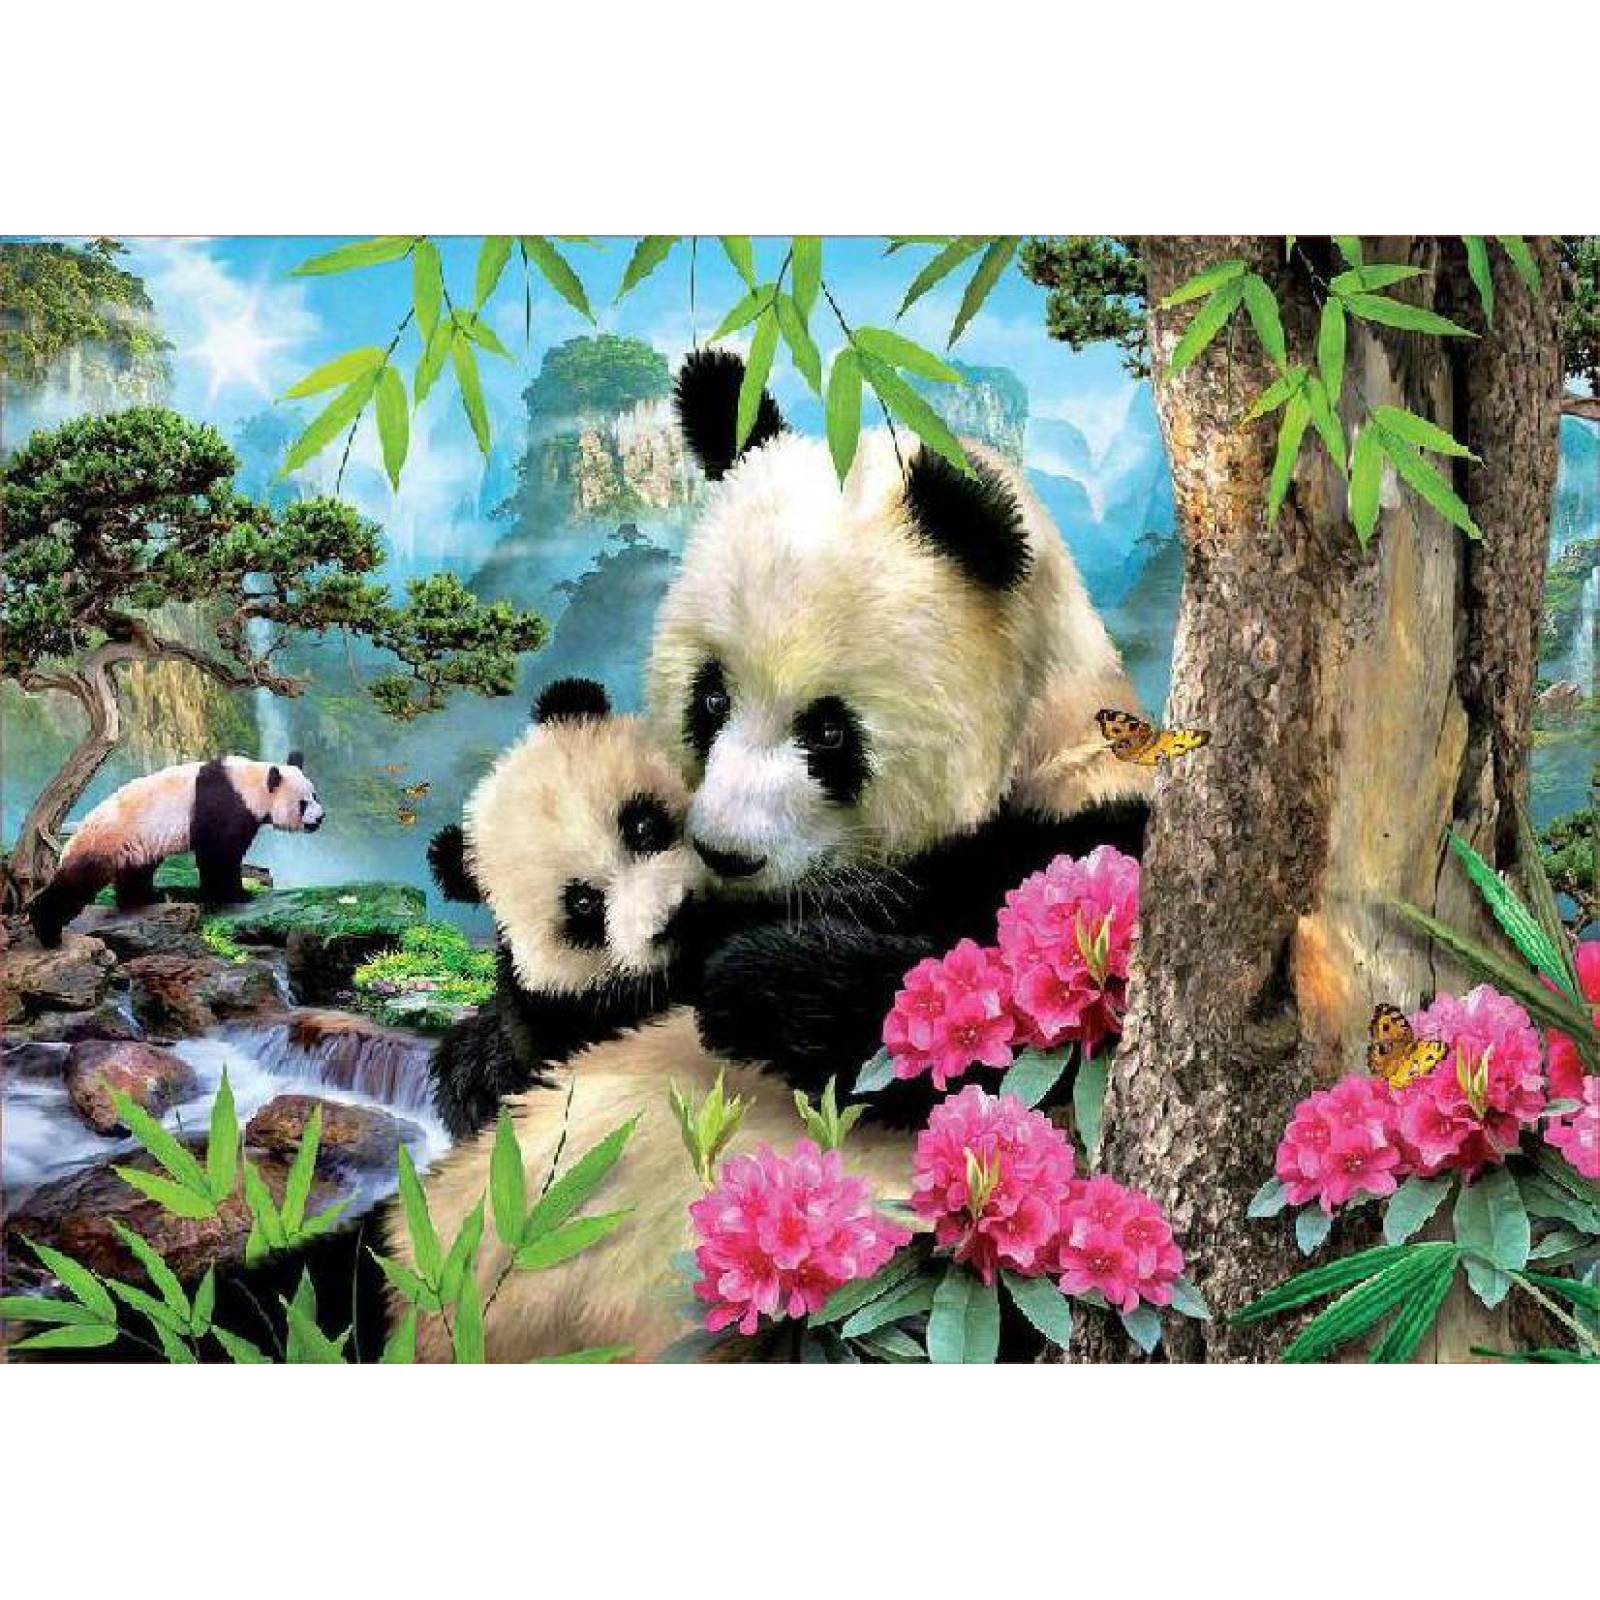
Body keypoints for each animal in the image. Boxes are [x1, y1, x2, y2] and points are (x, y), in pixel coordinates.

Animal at [27, 753, 325, 947]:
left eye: (315, 795)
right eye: (303, 803)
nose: (320, 818)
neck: (250, 782)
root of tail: (73, 837)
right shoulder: (223, 805)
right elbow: (218, 854)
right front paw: (238, 894)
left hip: (135, 844)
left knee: (137, 872)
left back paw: (149, 898)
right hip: (105, 841)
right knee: (76, 883)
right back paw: (48, 932)